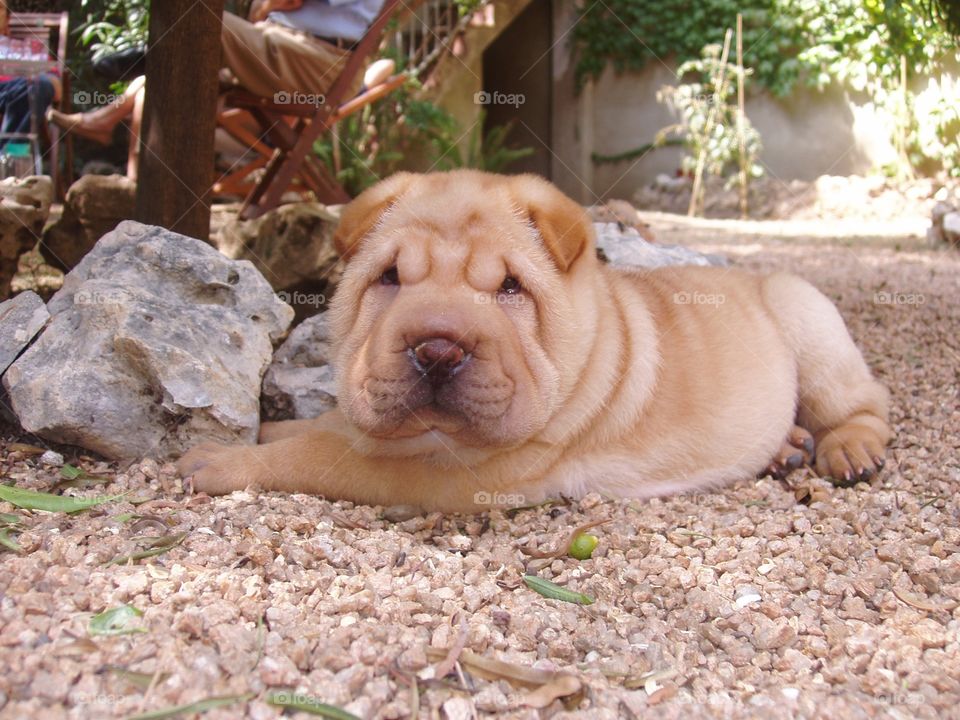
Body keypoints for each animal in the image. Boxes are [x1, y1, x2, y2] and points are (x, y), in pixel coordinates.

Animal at [178, 171, 892, 510]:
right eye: (390, 278)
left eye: (510, 288)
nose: (437, 348)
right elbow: (321, 428)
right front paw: (262, 431)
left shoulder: (451, 474)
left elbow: (322, 455)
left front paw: (220, 460)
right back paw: (787, 448)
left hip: (808, 318)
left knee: (863, 404)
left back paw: (845, 449)